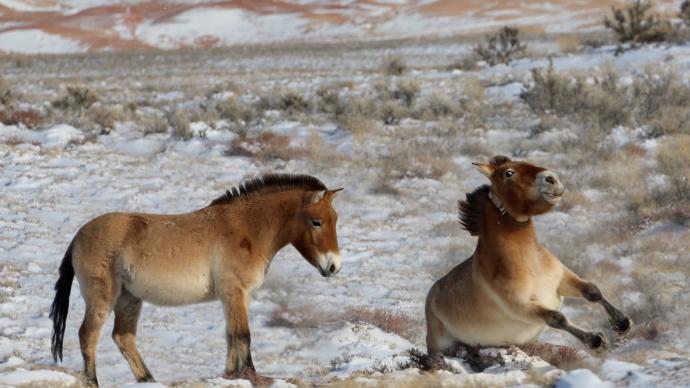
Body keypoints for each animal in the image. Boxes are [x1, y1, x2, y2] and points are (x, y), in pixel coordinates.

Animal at [47, 175, 342, 384]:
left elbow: (232, 337)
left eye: (335, 219)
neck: (245, 228)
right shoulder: (234, 292)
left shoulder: (236, 297)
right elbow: (243, 336)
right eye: (316, 222)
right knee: (88, 335)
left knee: (123, 336)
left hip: (129, 299)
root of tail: (78, 236)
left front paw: (230, 376)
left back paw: (149, 380)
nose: (333, 266)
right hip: (103, 297)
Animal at [424, 155, 628, 358]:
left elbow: (592, 291)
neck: (530, 264)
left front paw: (622, 323)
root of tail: (430, 297)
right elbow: (557, 318)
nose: (552, 179)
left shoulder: (561, 280)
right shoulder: (522, 306)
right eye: (508, 173)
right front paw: (596, 340)